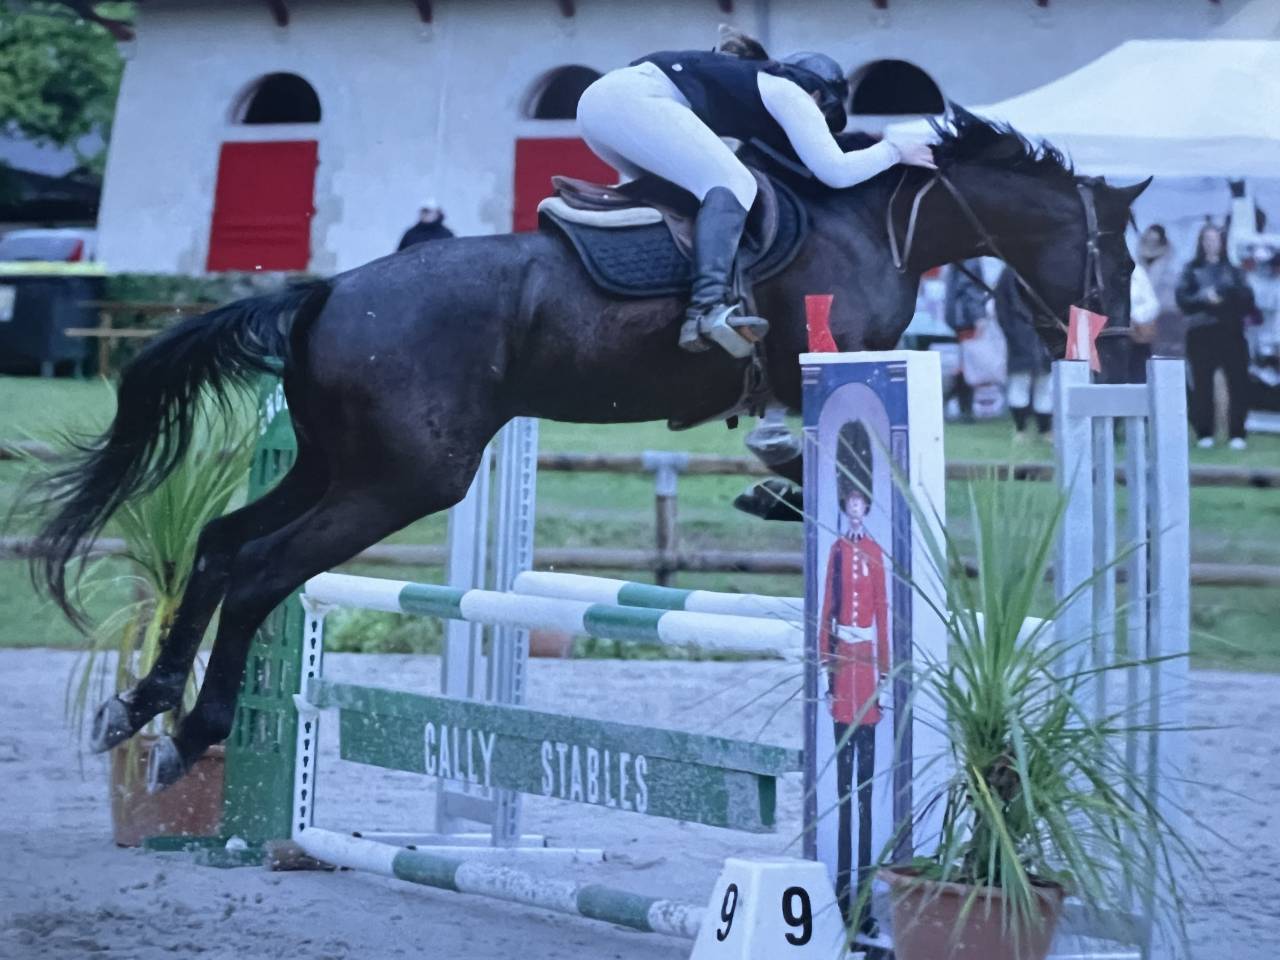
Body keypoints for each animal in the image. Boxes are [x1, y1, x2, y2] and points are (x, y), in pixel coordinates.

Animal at [32, 111, 1150, 790]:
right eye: (1123, 252)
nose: (1119, 346)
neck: (882, 216)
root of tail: (326, 292)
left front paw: (771, 494)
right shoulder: (825, 363)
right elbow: (809, 458)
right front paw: (775, 495)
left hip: (338, 464)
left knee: (222, 546)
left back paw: (141, 706)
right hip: (404, 479)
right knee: (263, 569)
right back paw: (189, 735)